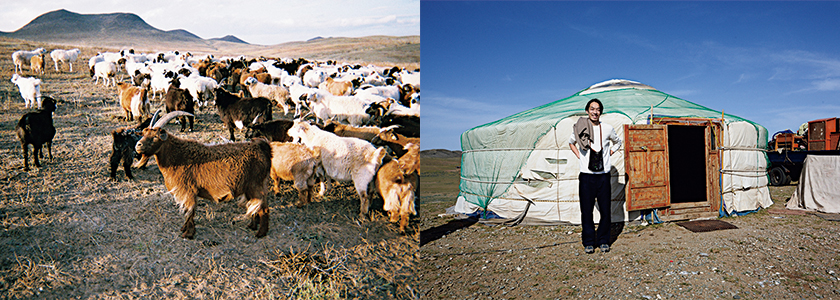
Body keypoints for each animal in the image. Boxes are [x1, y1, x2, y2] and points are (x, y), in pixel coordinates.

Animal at [135, 111, 272, 238]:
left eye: (155, 137)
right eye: (144, 133)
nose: (138, 145)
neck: (177, 157)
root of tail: (262, 147)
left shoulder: (188, 191)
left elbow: (189, 211)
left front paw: (188, 234)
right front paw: (184, 229)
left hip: (255, 185)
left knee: (263, 208)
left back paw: (260, 233)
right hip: (251, 187)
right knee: (255, 205)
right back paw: (252, 226)